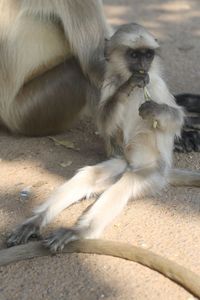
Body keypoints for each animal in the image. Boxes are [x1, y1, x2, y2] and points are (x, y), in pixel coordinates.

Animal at [6, 24, 200, 252]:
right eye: (134, 55)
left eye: (148, 55)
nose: (143, 65)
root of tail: (131, 165)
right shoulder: (109, 84)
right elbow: (106, 124)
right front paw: (127, 87)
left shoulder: (157, 85)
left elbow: (176, 119)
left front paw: (156, 111)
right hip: (120, 163)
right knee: (87, 177)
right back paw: (35, 222)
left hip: (151, 174)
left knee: (124, 185)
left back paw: (77, 232)